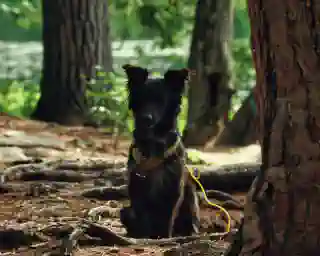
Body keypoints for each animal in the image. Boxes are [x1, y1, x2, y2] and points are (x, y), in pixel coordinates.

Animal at [120, 64, 200, 240]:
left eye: (161, 101)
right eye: (142, 98)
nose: (145, 118)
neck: (153, 141)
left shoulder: (173, 186)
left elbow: (167, 216)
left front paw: (163, 236)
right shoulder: (137, 184)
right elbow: (142, 214)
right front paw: (143, 235)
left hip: (191, 195)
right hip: (124, 211)